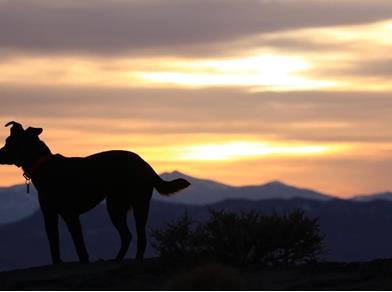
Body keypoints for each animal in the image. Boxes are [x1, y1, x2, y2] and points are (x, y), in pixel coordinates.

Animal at [0, 122, 190, 264]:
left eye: (9, 142)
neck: (45, 166)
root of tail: (146, 165)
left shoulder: (70, 215)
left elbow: (79, 244)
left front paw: (84, 260)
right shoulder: (49, 216)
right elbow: (53, 243)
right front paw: (57, 263)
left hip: (133, 205)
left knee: (139, 237)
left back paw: (135, 259)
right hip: (117, 206)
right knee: (127, 236)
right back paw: (116, 259)